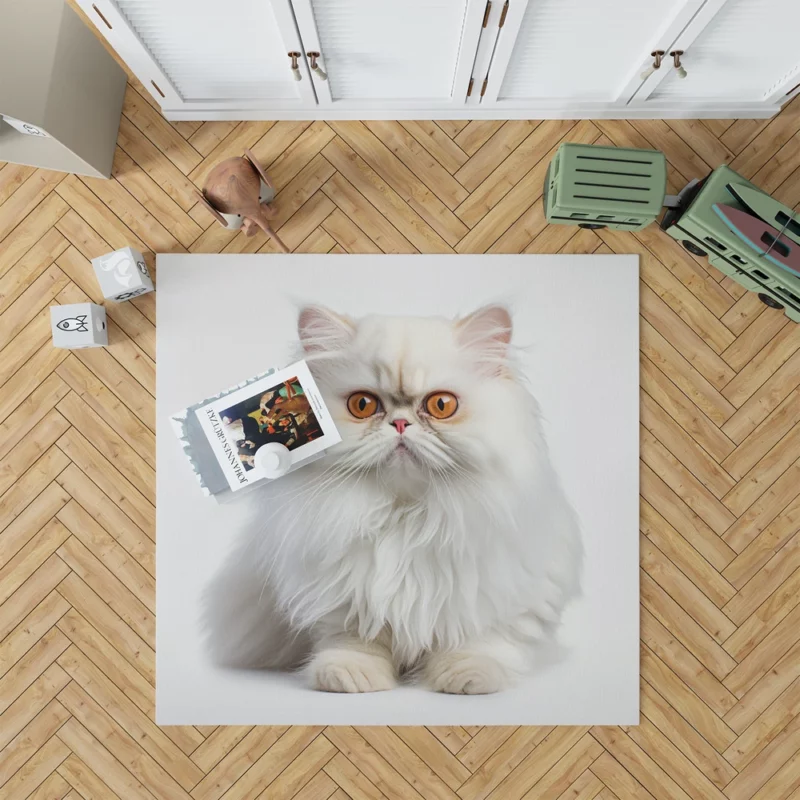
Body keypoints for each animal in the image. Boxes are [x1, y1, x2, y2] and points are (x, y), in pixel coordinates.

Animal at [206, 304, 580, 692]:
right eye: (362, 405)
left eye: (442, 405)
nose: (400, 424)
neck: (405, 518)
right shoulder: (343, 601)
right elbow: (355, 641)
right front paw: (349, 676)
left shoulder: (498, 595)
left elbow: (479, 640)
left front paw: (467, 675)